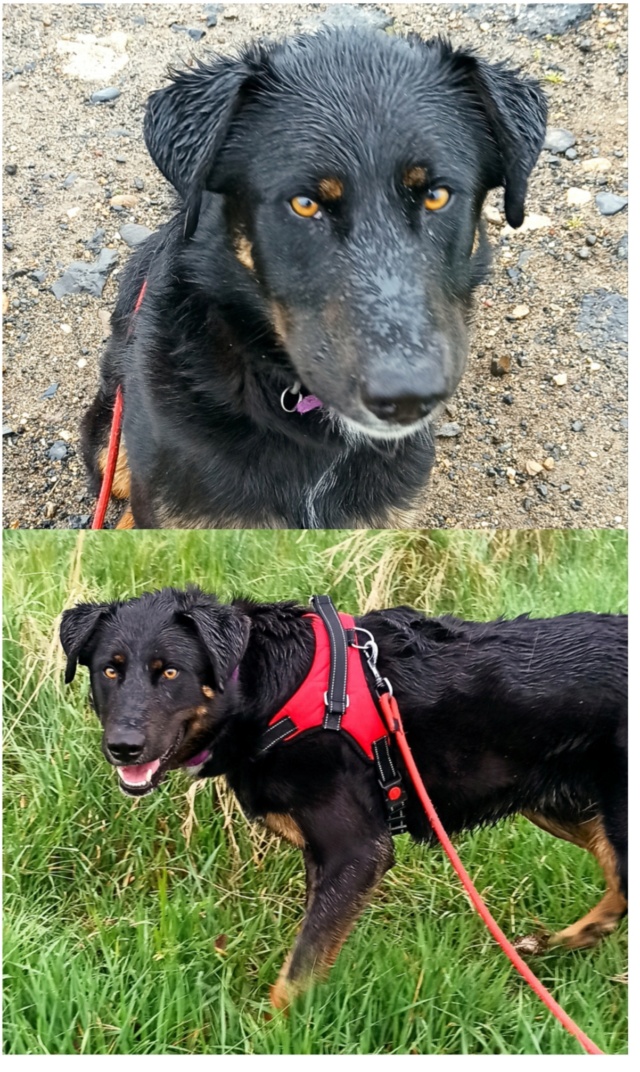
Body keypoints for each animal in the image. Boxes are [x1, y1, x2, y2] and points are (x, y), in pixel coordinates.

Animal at [57, 587, 626, 1003]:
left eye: (170, 672)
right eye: (110, 669)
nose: (122, 748)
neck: (268, 686)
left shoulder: (356, 853)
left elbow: (296, 973)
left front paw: (268, 1040)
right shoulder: (324, 859)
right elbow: (312, 948)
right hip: (554, 802)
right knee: (617, 878)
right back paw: (573, 938)